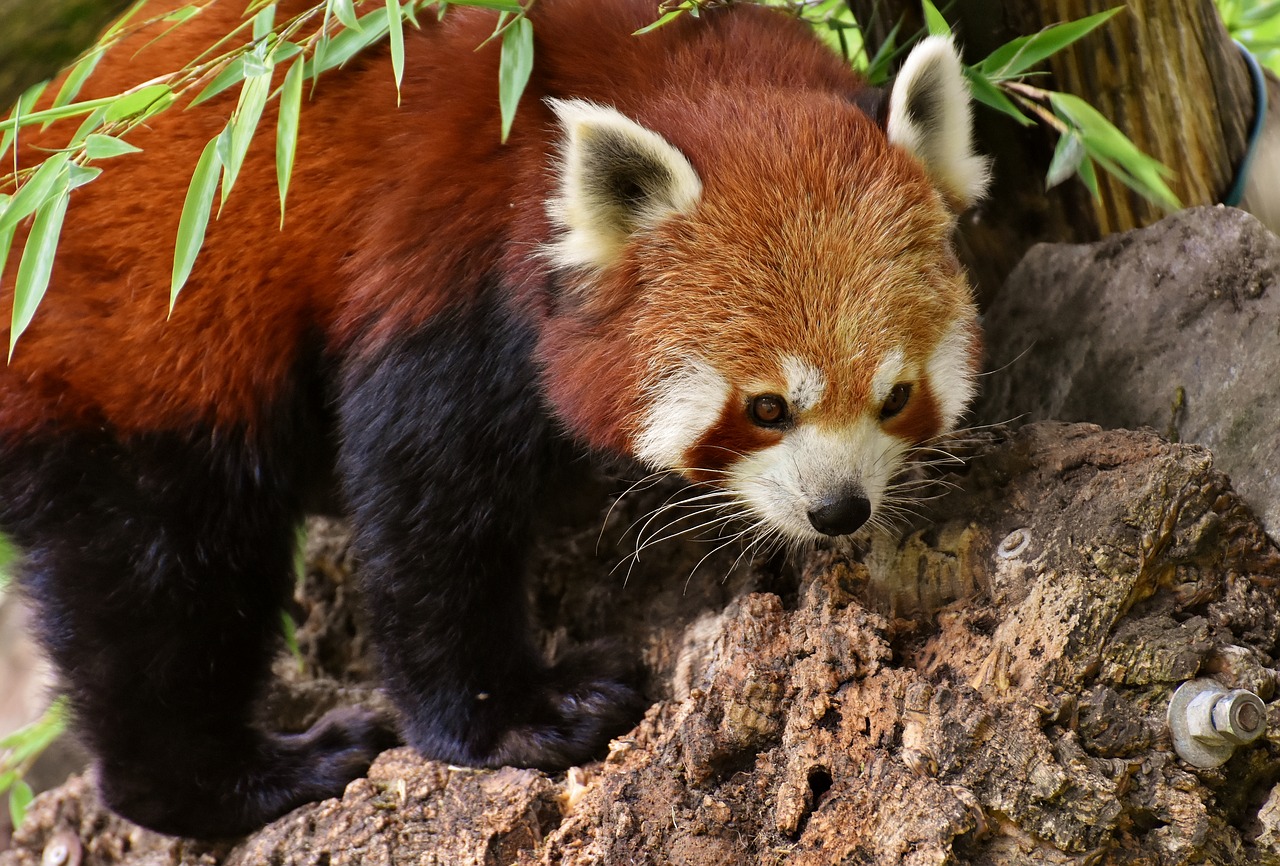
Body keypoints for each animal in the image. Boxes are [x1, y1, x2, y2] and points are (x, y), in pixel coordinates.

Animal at [0, 0, 988, 839]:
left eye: (895, 396)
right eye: (767, 407)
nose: (839, 510)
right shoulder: (443, 258)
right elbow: (427, 513)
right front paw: (513, 718)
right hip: (133, 351)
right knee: (162, 571)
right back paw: (229, 780)